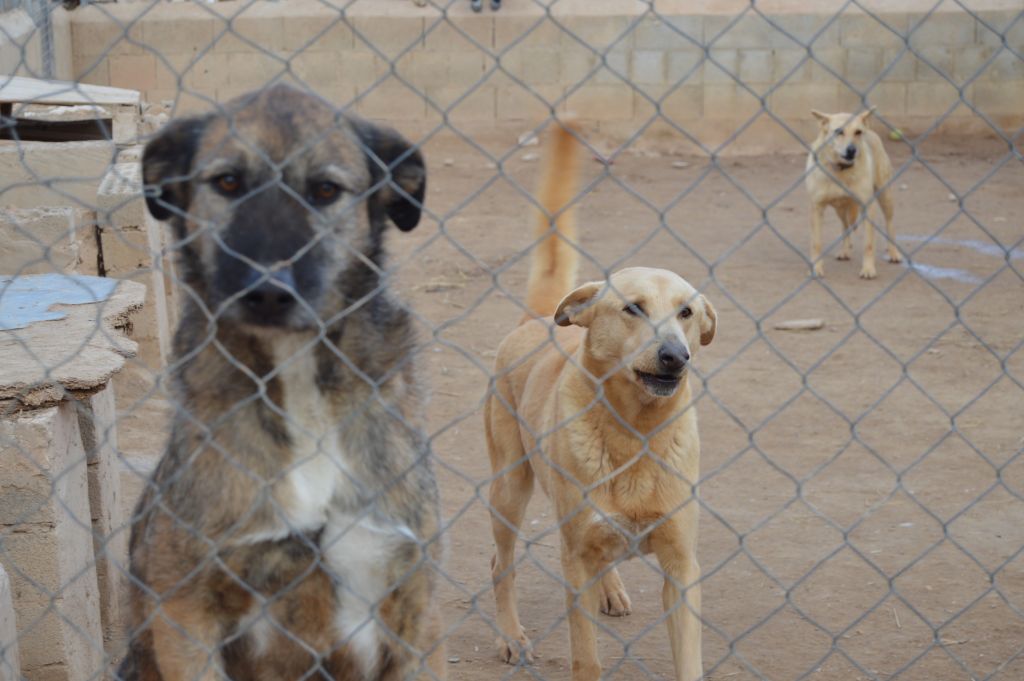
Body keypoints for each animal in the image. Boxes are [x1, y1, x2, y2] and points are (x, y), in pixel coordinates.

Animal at [118, 84, 444, 679]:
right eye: (227, 182)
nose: (269, 290)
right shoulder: (185, 611)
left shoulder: (415, 610)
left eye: (325, 190)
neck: (301, 391)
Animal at [483, 123, 716, 679]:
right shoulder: (576, 563)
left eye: (687, 313)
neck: (635, 434)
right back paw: (511, 636)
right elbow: (585, 656)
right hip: (508, 489)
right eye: (633, 308)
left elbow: (689, 660)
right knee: (501, 564)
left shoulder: (681, 566)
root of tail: (538, 318)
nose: (676, 356)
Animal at [802, 107, 901, 278]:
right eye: (838, 131)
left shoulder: (868, 207)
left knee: (890, 224)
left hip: (885, 196)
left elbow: (869, 243)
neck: (841, 170)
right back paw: (845, 251)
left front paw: (868, 269)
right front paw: (816, 269)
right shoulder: (817, 208)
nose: (852, 150)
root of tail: (871, 131)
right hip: (840, 208)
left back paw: (894, 253)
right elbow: (816, 243)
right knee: (845, 226)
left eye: (858, 132)